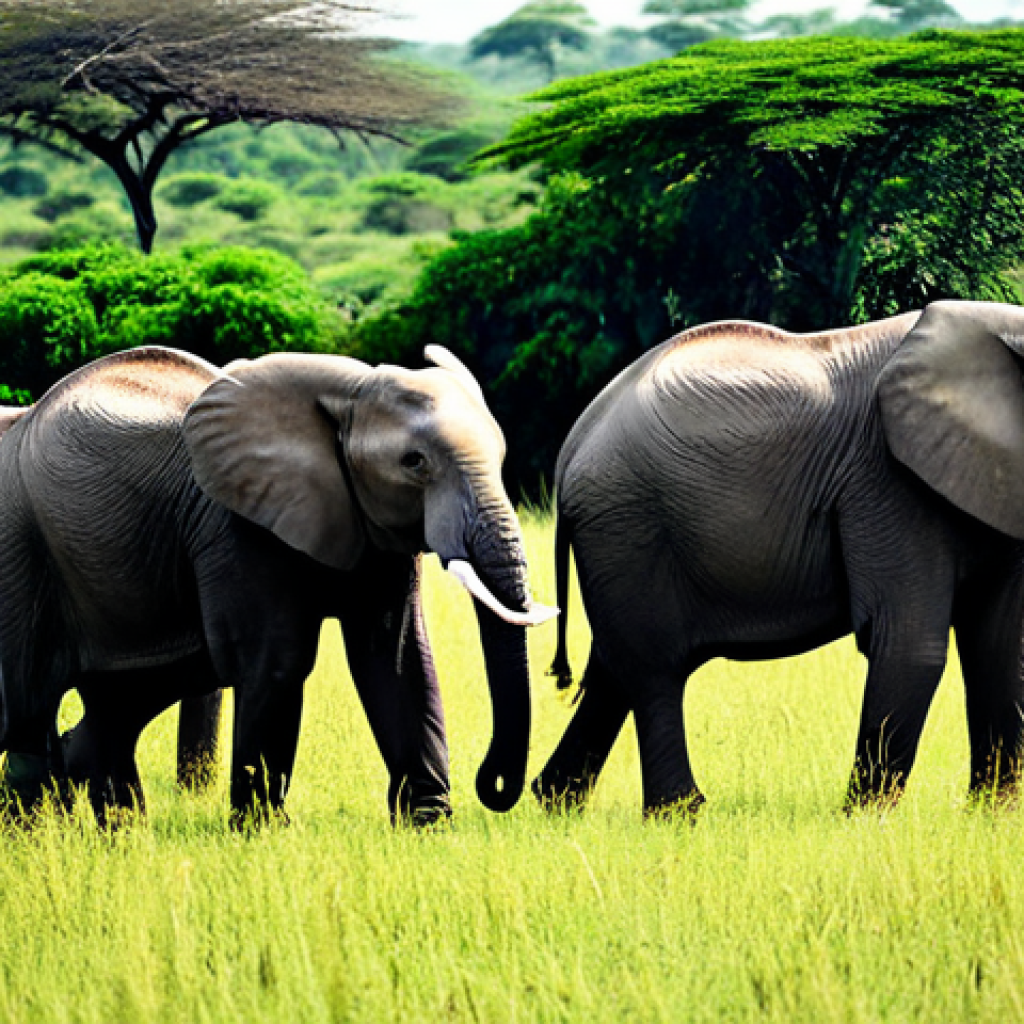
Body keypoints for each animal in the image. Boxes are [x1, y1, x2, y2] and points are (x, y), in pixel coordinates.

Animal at [0, 344, 554, 826]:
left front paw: (428, 826)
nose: (494, 785)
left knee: (115, 709)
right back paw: (36, 839)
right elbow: (278, 661)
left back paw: (118, 834)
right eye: (413, 462)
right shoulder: (239, 527)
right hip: (21, 550)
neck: (350, 391)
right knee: (31, 714)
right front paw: (261, 832)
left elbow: (396, 659)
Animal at [535, 300, 1024, 817]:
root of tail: (570, 450)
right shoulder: (887, 480)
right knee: (655, 671)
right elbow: (909, 644)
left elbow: (1001, 645)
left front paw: (994, 815)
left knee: (612, 672)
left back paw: (558, 805)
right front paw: (864, 822)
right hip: (629, 527)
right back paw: (678, 815)